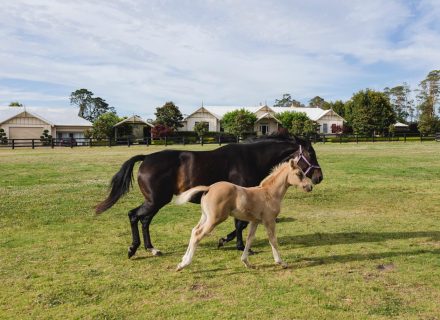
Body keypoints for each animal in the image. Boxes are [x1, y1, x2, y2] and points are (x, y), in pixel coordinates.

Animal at [97, 134, 324, 258]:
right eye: (311, 154)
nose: (319, 177)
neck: (250, 158)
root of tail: (145, 158)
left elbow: (240, 224)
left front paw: (225, 240)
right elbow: (240, 224)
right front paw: (237, 245)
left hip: (155, 201)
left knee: (143, 220)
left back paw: (151, 249)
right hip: (155, 200)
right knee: (134, 216)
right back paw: (133, 249)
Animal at [174, 159, 312, 272]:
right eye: (299, 174)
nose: (310, 186)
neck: (269, 194)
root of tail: (209, 188)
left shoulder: (255, 221)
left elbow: (250, 239)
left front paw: (246, 262)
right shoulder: (269, 220)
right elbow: (272, 240)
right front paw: (281, 263)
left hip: (205, 217)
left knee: (194, 231)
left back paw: (183, 259)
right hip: (215, 219)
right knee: (198, 234)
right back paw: (184, 264)